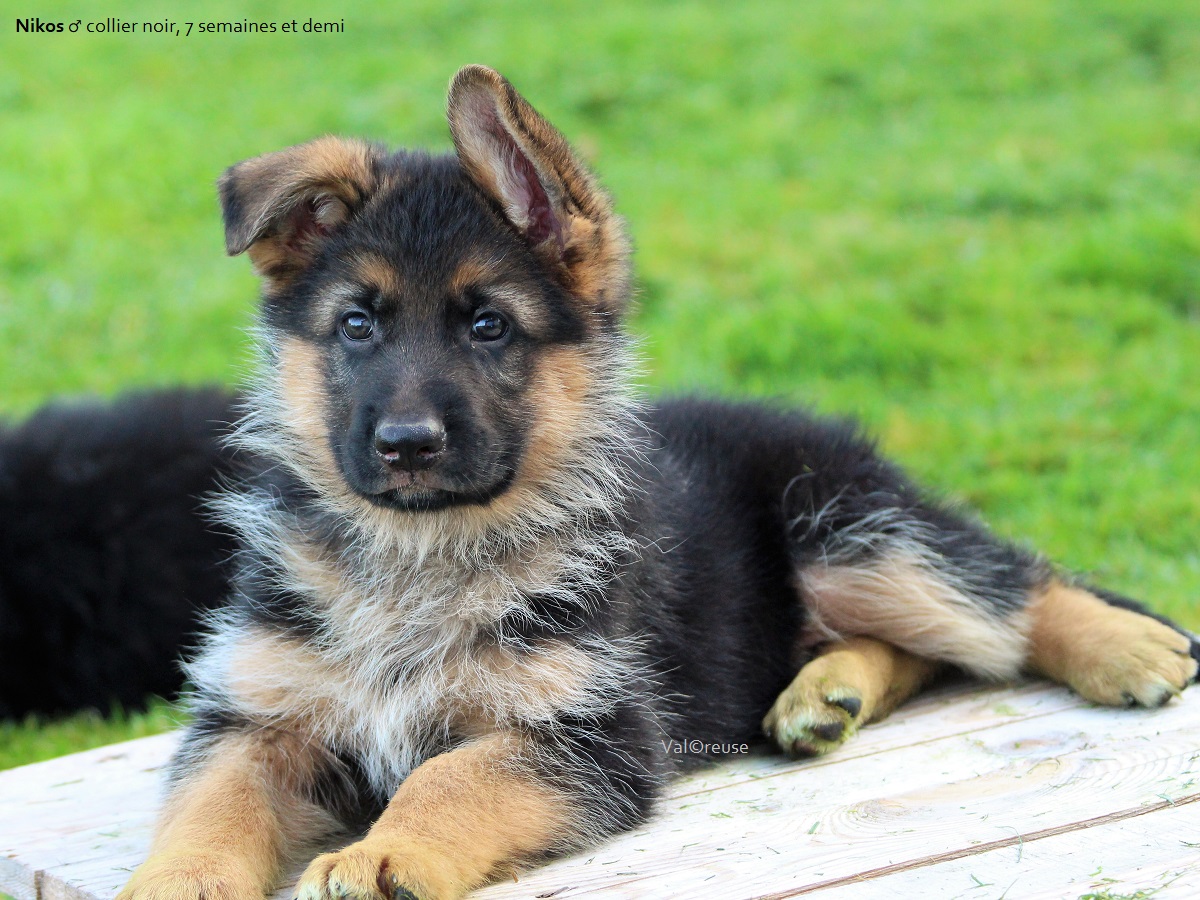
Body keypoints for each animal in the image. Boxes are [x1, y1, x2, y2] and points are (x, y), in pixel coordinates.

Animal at [114, 65, 1200, 900]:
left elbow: (451, 777)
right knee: (929, 650)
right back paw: (826, 693)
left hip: (848, 529)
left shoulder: (587, 730)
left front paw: (382, 853)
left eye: (487, 326)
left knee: (1000, 598)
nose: (405, 444)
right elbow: (208, 805)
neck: (420, 550)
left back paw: (1121, 645)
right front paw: (174, 881)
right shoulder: (256, 715)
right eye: (355, 324)